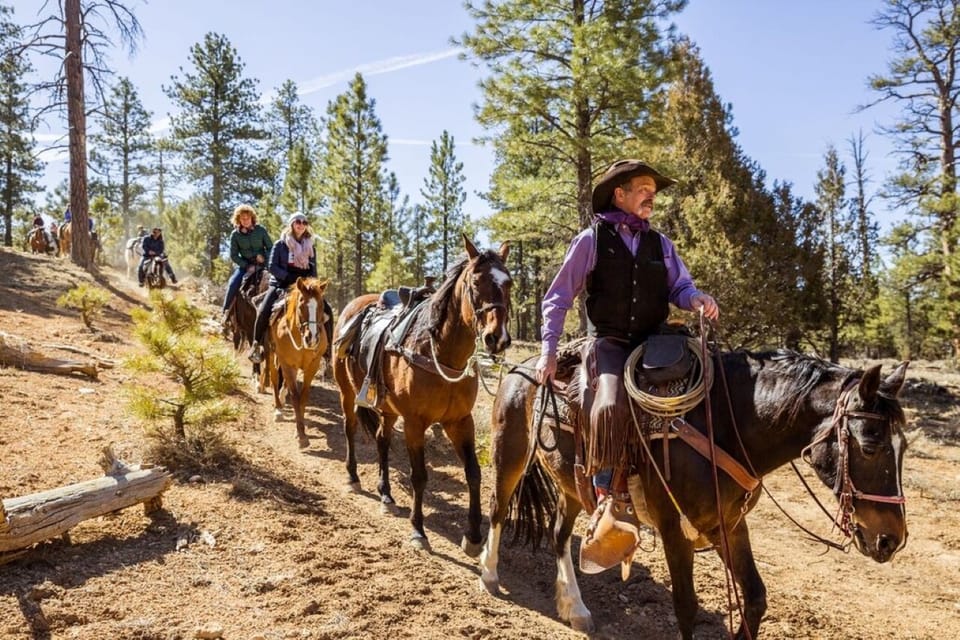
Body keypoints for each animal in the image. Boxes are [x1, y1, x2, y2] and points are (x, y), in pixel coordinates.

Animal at [262, 278, 330, 448]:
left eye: (321, 306)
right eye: (301, 305)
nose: (312, 338)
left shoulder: (312, 365)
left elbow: (303, 396)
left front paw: (301, 431)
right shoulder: (287, 364)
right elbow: (295, 396)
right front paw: (301, 435)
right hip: (272, 353)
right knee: (274, 378)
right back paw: (278, 408)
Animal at [480, 350, 908, 640]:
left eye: (902, 447)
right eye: (870, 445)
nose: (891, 540)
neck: (724, 426)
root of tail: (522, 366)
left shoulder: (728, 525)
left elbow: (755, 597)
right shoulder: (674, 528)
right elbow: (686, 607)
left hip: (571, 484)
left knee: (558, 535)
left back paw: (576, 609)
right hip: (509, 453)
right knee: (498, 509)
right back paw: (488, 574)